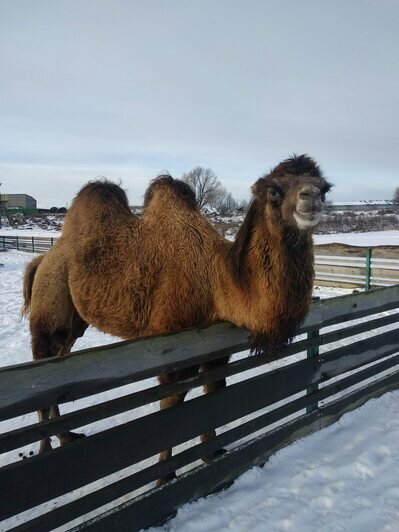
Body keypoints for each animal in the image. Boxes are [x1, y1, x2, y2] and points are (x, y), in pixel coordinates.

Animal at [22, 152, 332, 476]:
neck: (216, 282)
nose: (311, 197)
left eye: (325, 188)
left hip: (75, 321)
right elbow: (170, 407)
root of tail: (43, 258)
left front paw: (212, 454)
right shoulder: (170, 347)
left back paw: (67, 438)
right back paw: (45, 449)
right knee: (41, 366)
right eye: (274, 190)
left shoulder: (217, 349)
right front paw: (164, 476)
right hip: (51, 300)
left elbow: (214, 392)